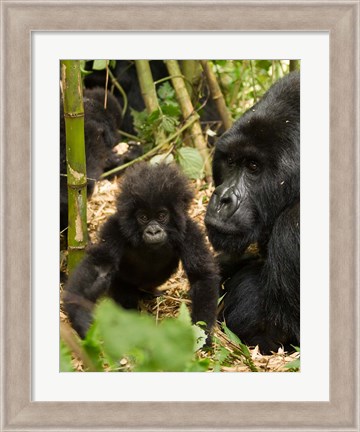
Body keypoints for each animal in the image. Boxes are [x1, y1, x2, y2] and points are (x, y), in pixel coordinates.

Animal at [62, 162, 219, 340]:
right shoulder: (115, 228)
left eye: (161, 215)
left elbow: (201, 277)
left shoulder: (189, 232)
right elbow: (99, 268)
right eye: (143, 217)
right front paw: (82, 320)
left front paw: (200, 335)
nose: (153, 231)